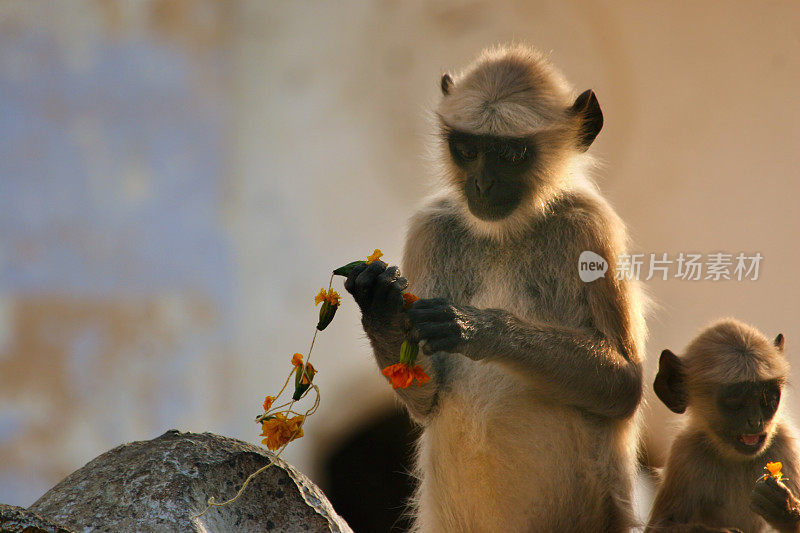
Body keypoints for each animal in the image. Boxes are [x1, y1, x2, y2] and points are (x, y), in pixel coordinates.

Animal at [340, 43, 648, 528]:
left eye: (511, 154)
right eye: (467, 150)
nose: (482, 183)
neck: (505, 233)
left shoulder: (590, 227)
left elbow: (624, 385)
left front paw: (477, 328)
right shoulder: (431, 228)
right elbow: (426, 396)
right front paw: (380, 302)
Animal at [648, 318, 800, 528]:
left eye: (768, 398)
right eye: (735, 400)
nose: (755, 421)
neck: (735, 458)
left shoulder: (785, 444)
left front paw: (784, 508)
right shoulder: (684, 452)